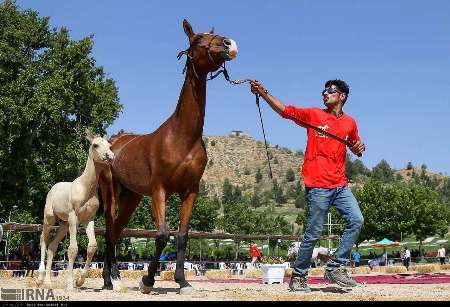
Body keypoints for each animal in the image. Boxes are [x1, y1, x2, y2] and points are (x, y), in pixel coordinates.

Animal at [37, 131, 114, 292]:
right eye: (95, 145)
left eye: (109, 145)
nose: (109, 156)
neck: (86, 188)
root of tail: (53, 188)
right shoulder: (74, 218)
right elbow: (73, 249)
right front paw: (70, 285)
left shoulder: (89, 219)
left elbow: (92, 247)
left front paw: (80, 281)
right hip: (49, 219)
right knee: (43, 240)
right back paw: (40, 279)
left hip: (63, 224)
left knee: (52, 246)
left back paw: (48, 283)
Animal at [98, 19, 239, 294]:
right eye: (197, 39)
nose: (229, 44)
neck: (182, 138)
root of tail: (114, 143)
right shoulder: (159, 189)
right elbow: (162, 236)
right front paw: (147, 280)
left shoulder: (190, 191)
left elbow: (182, 236)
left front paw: (182, 281)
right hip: (111, 194)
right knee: (109, 231)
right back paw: (110, 280)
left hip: (132, 198)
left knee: (116, 232)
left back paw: (114, 278)